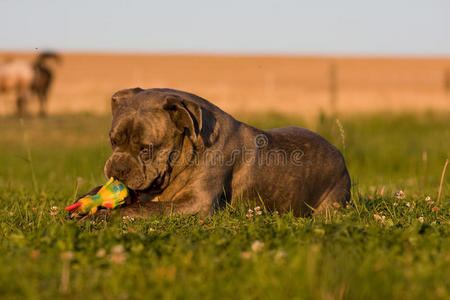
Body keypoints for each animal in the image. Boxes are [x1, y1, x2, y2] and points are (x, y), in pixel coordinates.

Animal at [71, 88, 352, 219]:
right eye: (113, 141)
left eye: (146, 149)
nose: (117, 169)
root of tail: (340, 155)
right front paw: (85, 202)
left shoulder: (197, 203)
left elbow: (142, 210)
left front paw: (101, 216)